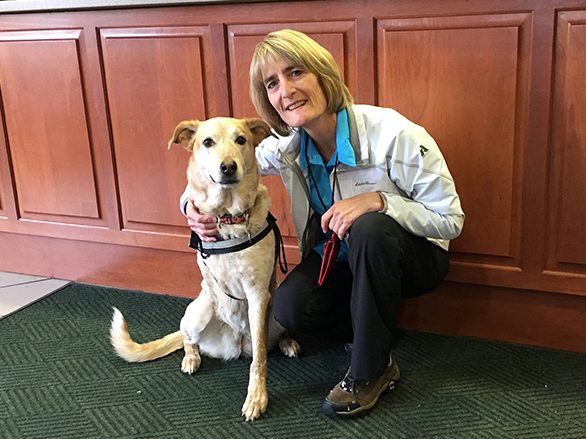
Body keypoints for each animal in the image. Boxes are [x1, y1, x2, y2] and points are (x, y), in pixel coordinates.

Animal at [109, 117, 298, 422]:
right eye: (207, 142)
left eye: (241, 140)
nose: (228, 167)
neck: (228, 218)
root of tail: (236, 343)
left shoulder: (259, 295)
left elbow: (259, 358)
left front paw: (256, 396)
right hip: (200, 311)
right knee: (188, 338)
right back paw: (191, 358)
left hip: (274, 309)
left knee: (265, 341)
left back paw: (287, 342)